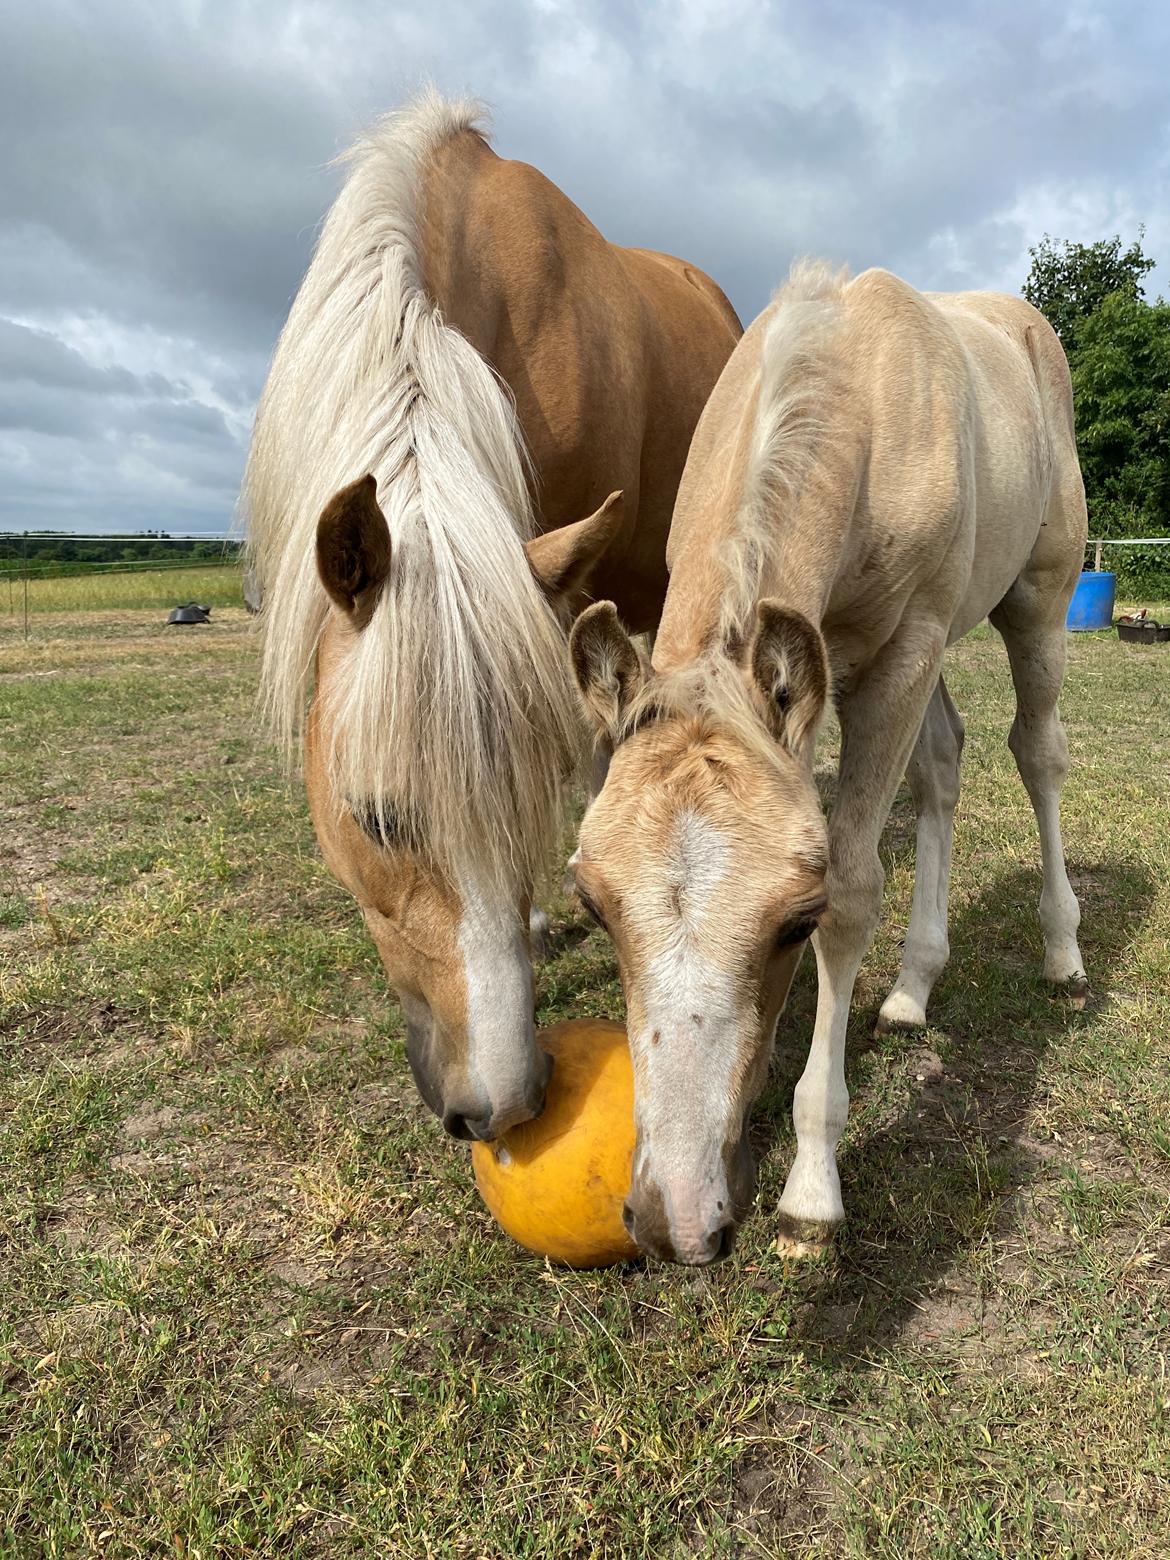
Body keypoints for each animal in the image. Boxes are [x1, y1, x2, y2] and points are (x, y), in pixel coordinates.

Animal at [567, 262, 1092, 1266]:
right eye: (592, 906)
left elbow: (854, 887)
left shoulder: (906, 649)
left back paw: (1064, 951)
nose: (677, 1218)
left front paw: (810, 1185)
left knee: (1037, 752)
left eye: (792, 922)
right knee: (944, 763)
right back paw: (915, 988)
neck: (855, 395)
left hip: (1035, 599)